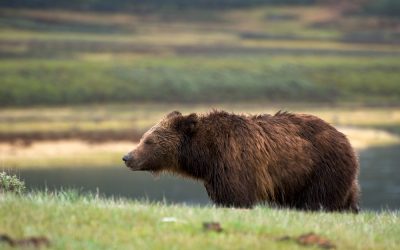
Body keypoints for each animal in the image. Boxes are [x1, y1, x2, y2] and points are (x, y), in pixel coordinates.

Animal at [122, 110, 360, 212]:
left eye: (149, 141)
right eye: (143, 137)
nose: (127, 157)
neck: (204, 154)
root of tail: (345, 138)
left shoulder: (235, 160)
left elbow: (237, 195)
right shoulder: (215, 172)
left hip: (321, 167)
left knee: (318, 198)